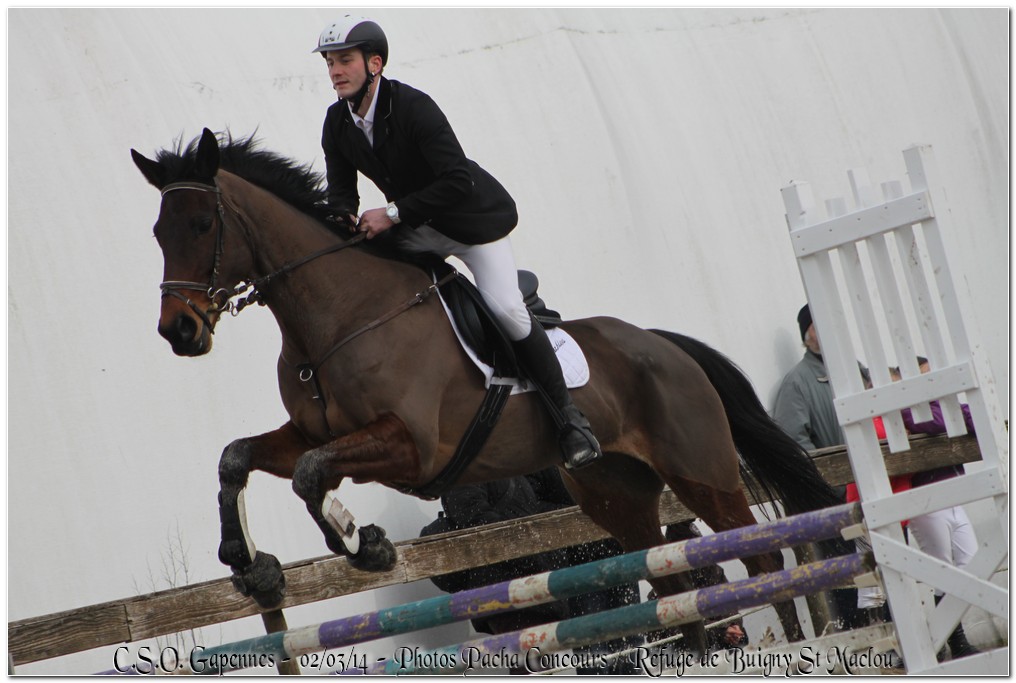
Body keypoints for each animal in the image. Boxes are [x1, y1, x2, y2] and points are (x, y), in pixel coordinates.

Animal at [131, 129, 845, 654]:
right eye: (159, 233)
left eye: (201, 226)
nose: (179, 332)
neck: (336, 316)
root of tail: (666, 345)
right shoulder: (314, 433)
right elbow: (238, 456)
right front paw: (249, 563)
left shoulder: (410, 448)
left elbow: (311, 474)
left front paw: (364, 543)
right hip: (616, 493)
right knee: (667, 571)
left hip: (704, 473)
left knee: (757, 558)